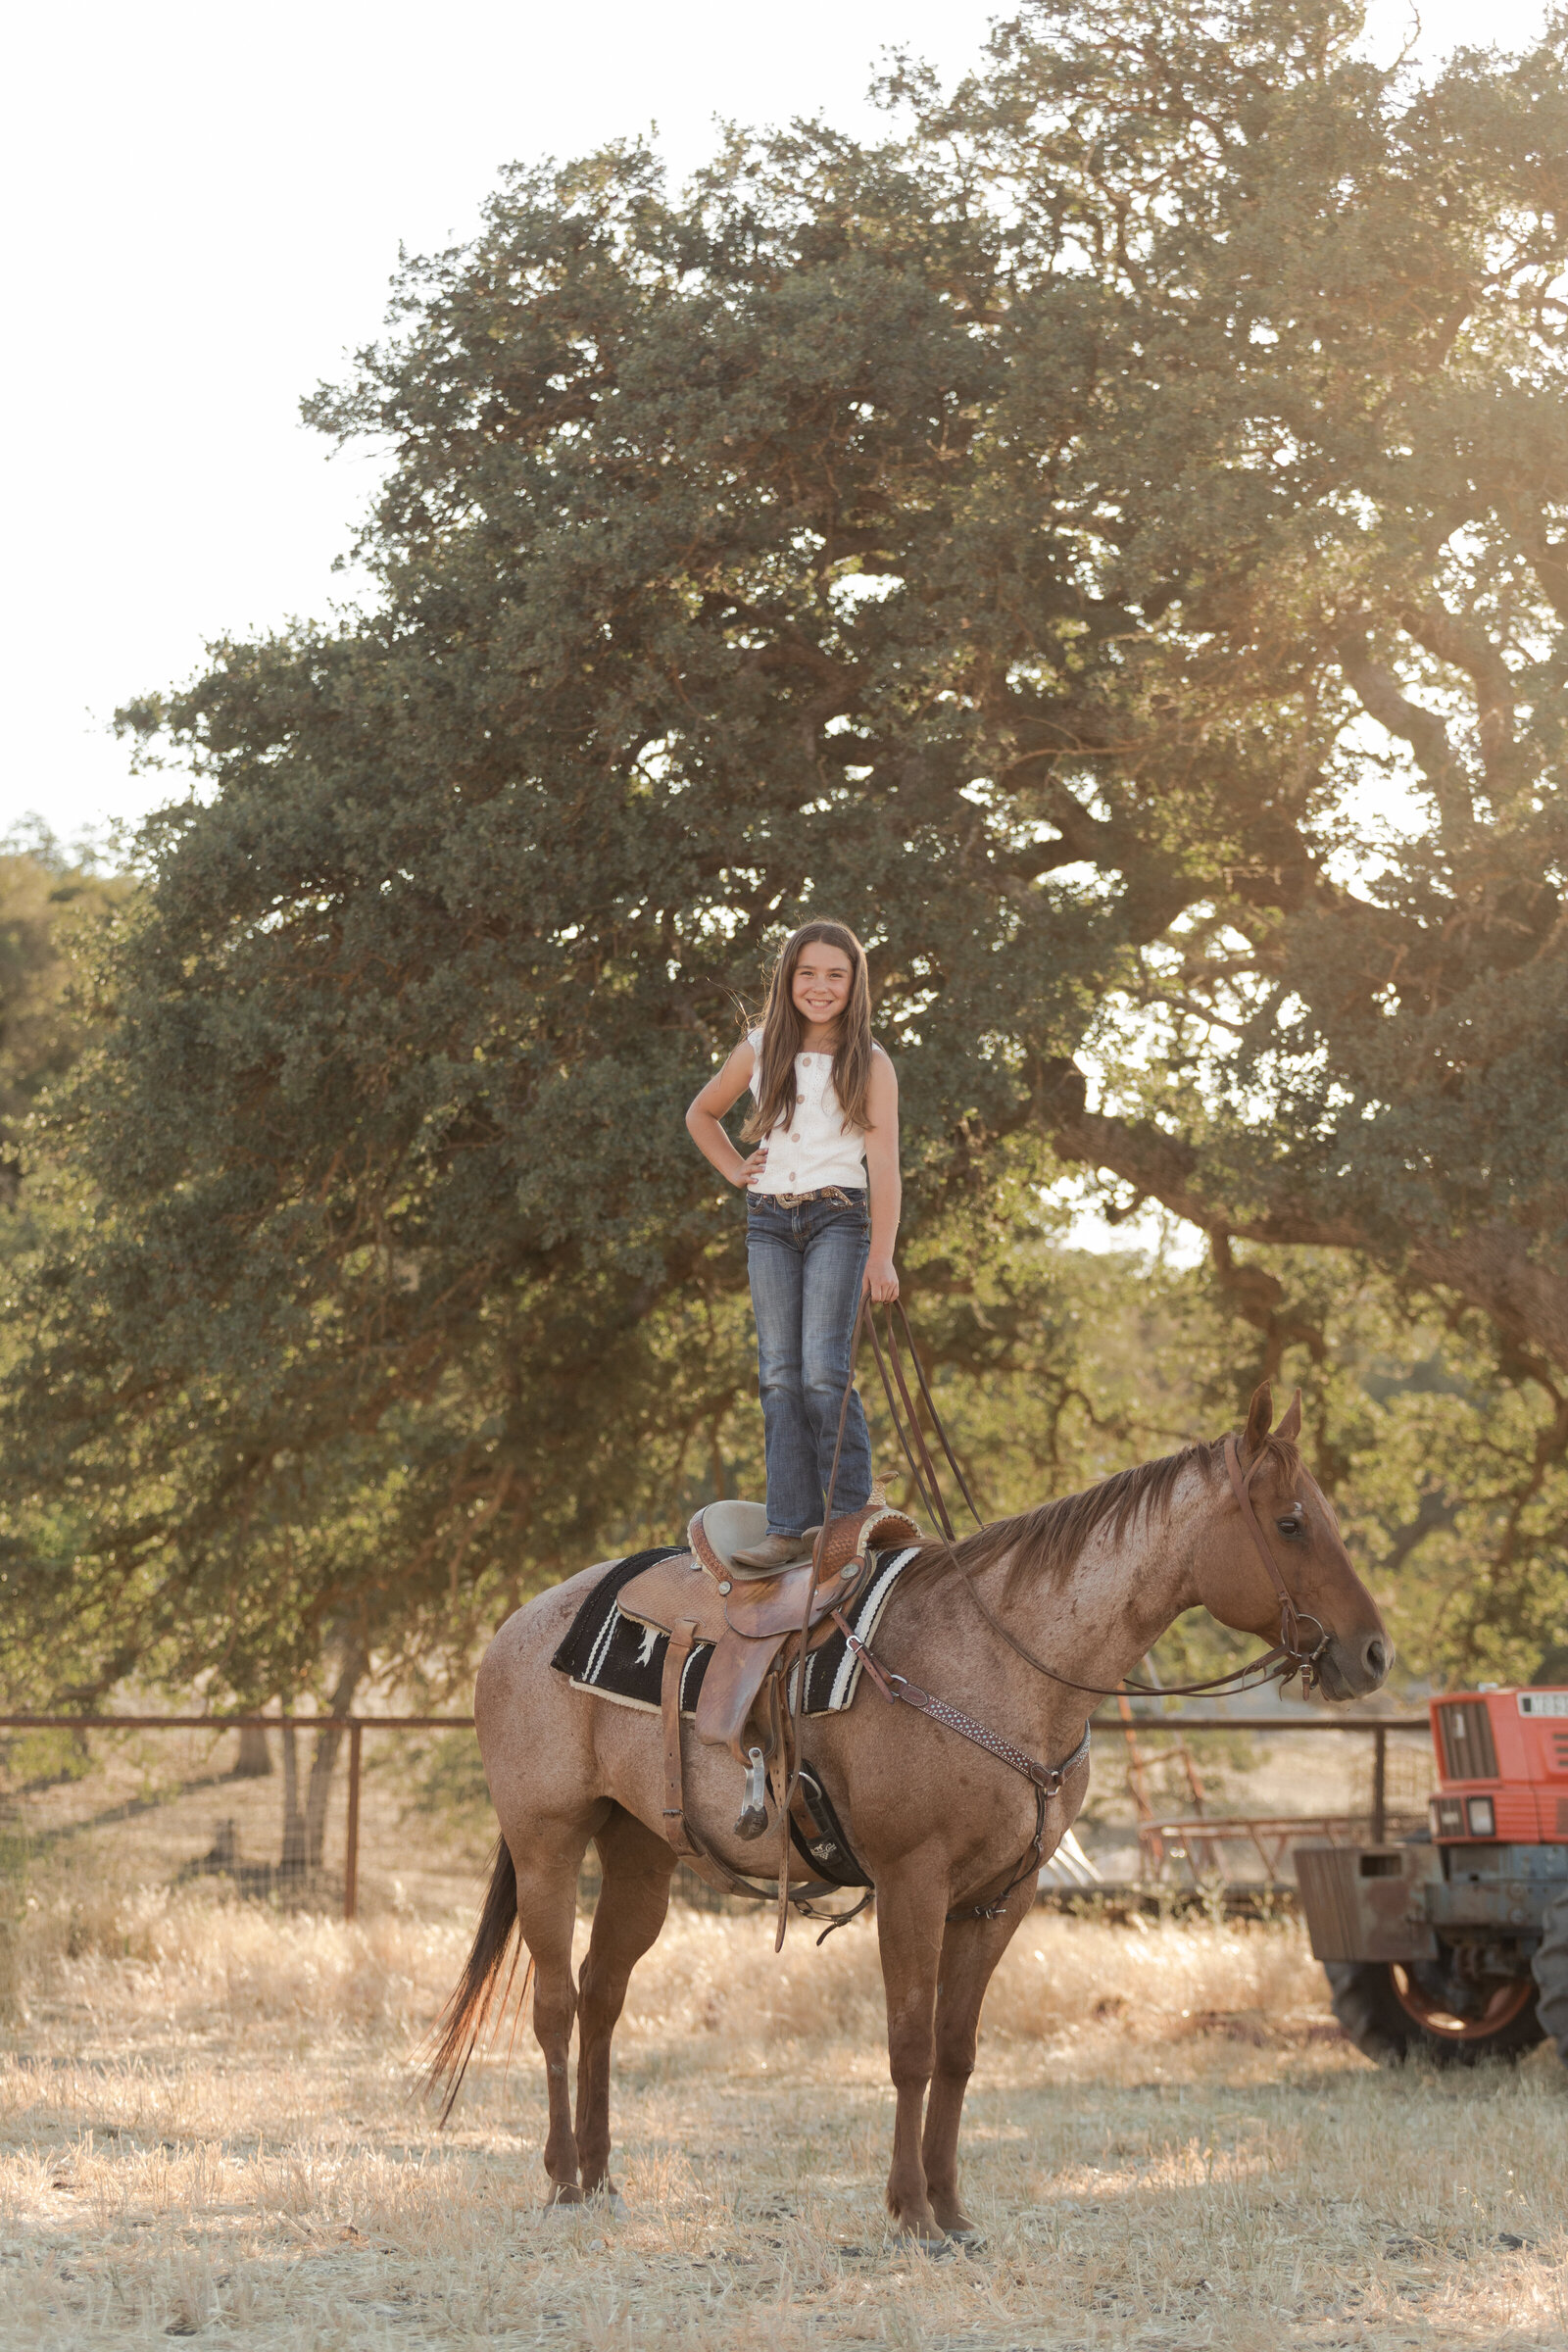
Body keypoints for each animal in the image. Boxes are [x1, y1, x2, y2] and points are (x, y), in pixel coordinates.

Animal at [425, 1373, 1382, 2238]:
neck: (1006, 1663)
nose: (1373, 1653)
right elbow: (910, 2045)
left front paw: (952, 2212)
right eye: (1290, 1523)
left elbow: (957, 2051)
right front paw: (910, 2211)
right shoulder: (912, 1882)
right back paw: (561, 2179)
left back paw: (600, 2175)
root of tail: (520, 1626)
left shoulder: (1002, 1898)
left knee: (601, 1994)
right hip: (548, 1842)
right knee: (554, 2000)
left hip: (641, 1854)